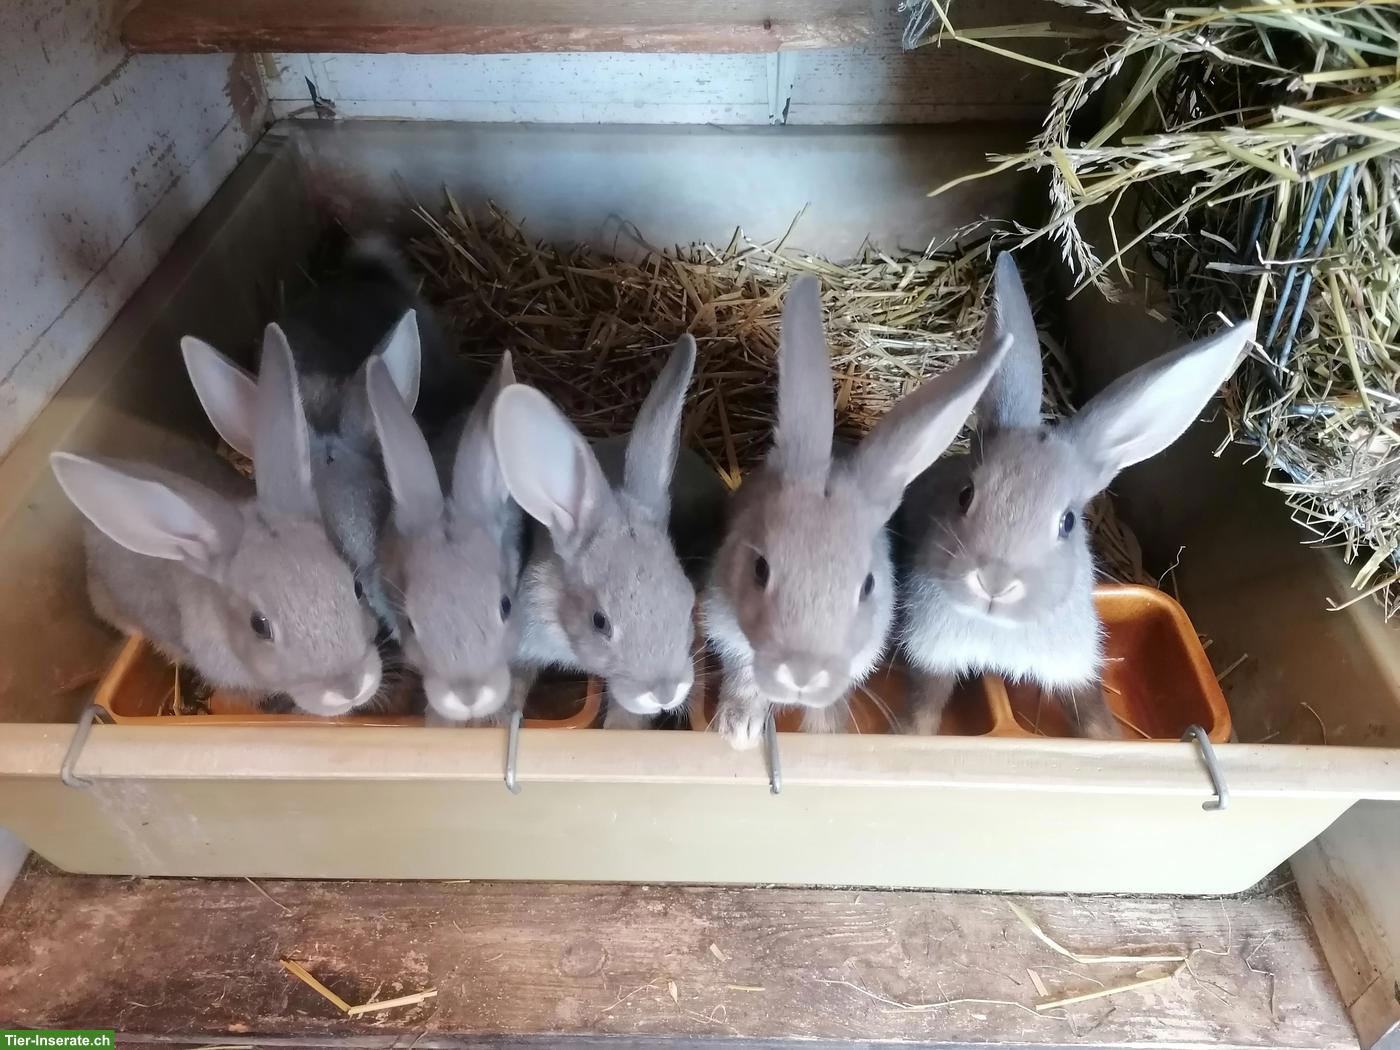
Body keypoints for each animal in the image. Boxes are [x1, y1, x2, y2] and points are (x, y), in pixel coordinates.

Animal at [701, 276, 1010, 750]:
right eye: (759, 569)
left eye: (868, 586)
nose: (803, 674)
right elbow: (743, 680)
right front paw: (739, 731)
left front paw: (828, 737)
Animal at [898, 252, 1254, 738]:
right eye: (966, 495)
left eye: (1067, 522)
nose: (994, 582)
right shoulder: (932, 656)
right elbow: (923, 712)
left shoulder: (1073, 668)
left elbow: (1092, 718)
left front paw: (1110, 740)